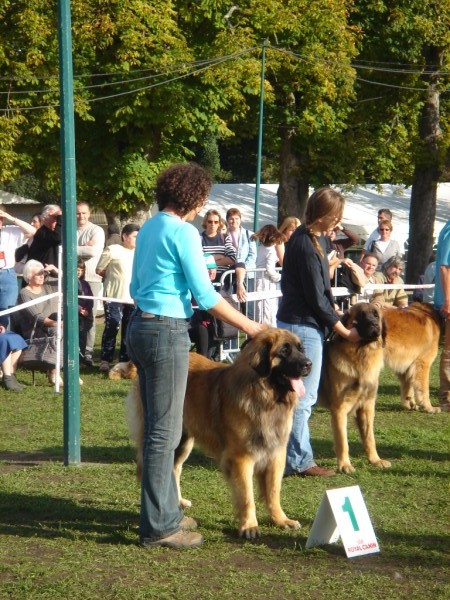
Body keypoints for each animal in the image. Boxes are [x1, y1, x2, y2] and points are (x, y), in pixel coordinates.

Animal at [125, 328, 312, 540]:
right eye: (284, 351)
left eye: (300, 349)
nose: (309, 364)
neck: (264, 396)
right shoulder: (241, 458)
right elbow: (247, 497)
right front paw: (249, 526)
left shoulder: (276, 454)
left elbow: (273, 492)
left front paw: (281, 520)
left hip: (183, 440)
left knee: (173, 468)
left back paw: (178, 503)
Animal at [320, 302, 390, 476]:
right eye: (361, 316)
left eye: (376, 315)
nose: (374, 325)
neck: (362, 353)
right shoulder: (339, 409)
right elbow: (342, 441)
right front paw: (345, 465)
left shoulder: (367, 406)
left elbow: (369, 437)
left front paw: (375, 460)